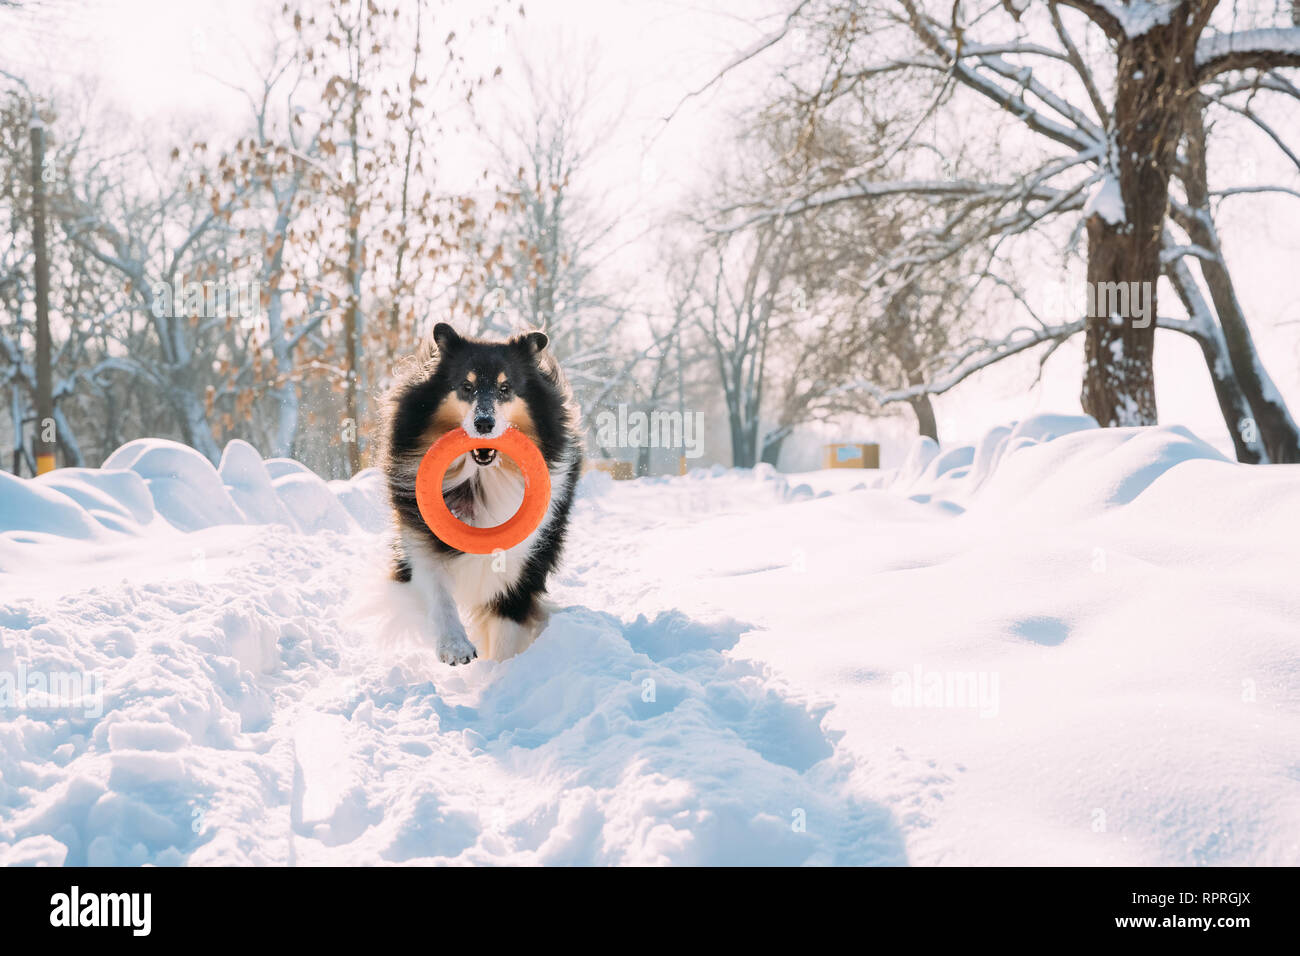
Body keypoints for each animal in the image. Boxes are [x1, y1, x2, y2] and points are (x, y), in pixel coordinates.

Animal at [377, 321, 579, 665]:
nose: (484, 423)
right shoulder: (419, 539)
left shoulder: (522, 563)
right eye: (466, 387)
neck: (480, 480)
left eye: (505, 388)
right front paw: (455, 646)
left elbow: (505, 628)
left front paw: (500, 672)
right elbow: (437, 590)